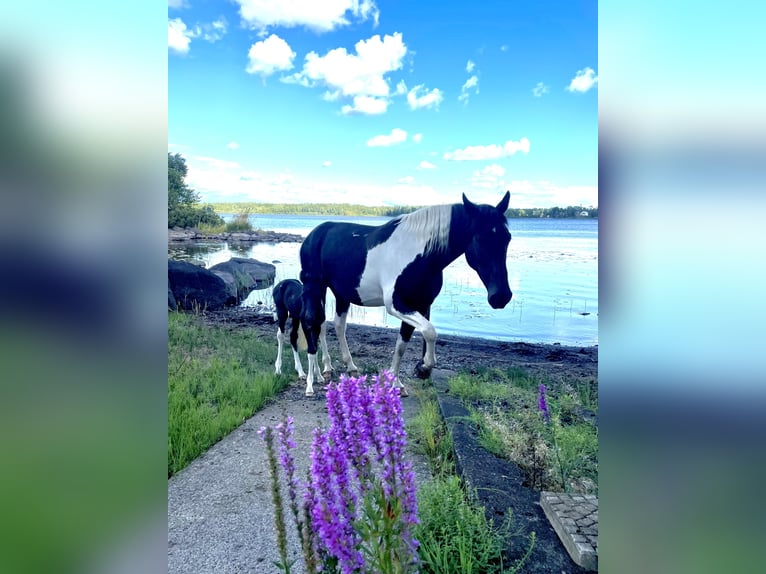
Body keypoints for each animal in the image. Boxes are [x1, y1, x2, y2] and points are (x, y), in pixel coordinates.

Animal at [298, 191, 513, 397]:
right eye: (481, 238)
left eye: (507, 238)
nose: (501, 296)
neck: (418, 255)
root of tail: (315, 234)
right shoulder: (397, 305)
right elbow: (429, 331)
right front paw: (423, 368)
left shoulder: (421, 304)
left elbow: (403, 344)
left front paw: (398, 382)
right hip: (316, 287)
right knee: (318, 323)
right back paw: (324, 370)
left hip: (341, 294)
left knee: (337, 325)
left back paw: (348, 366)